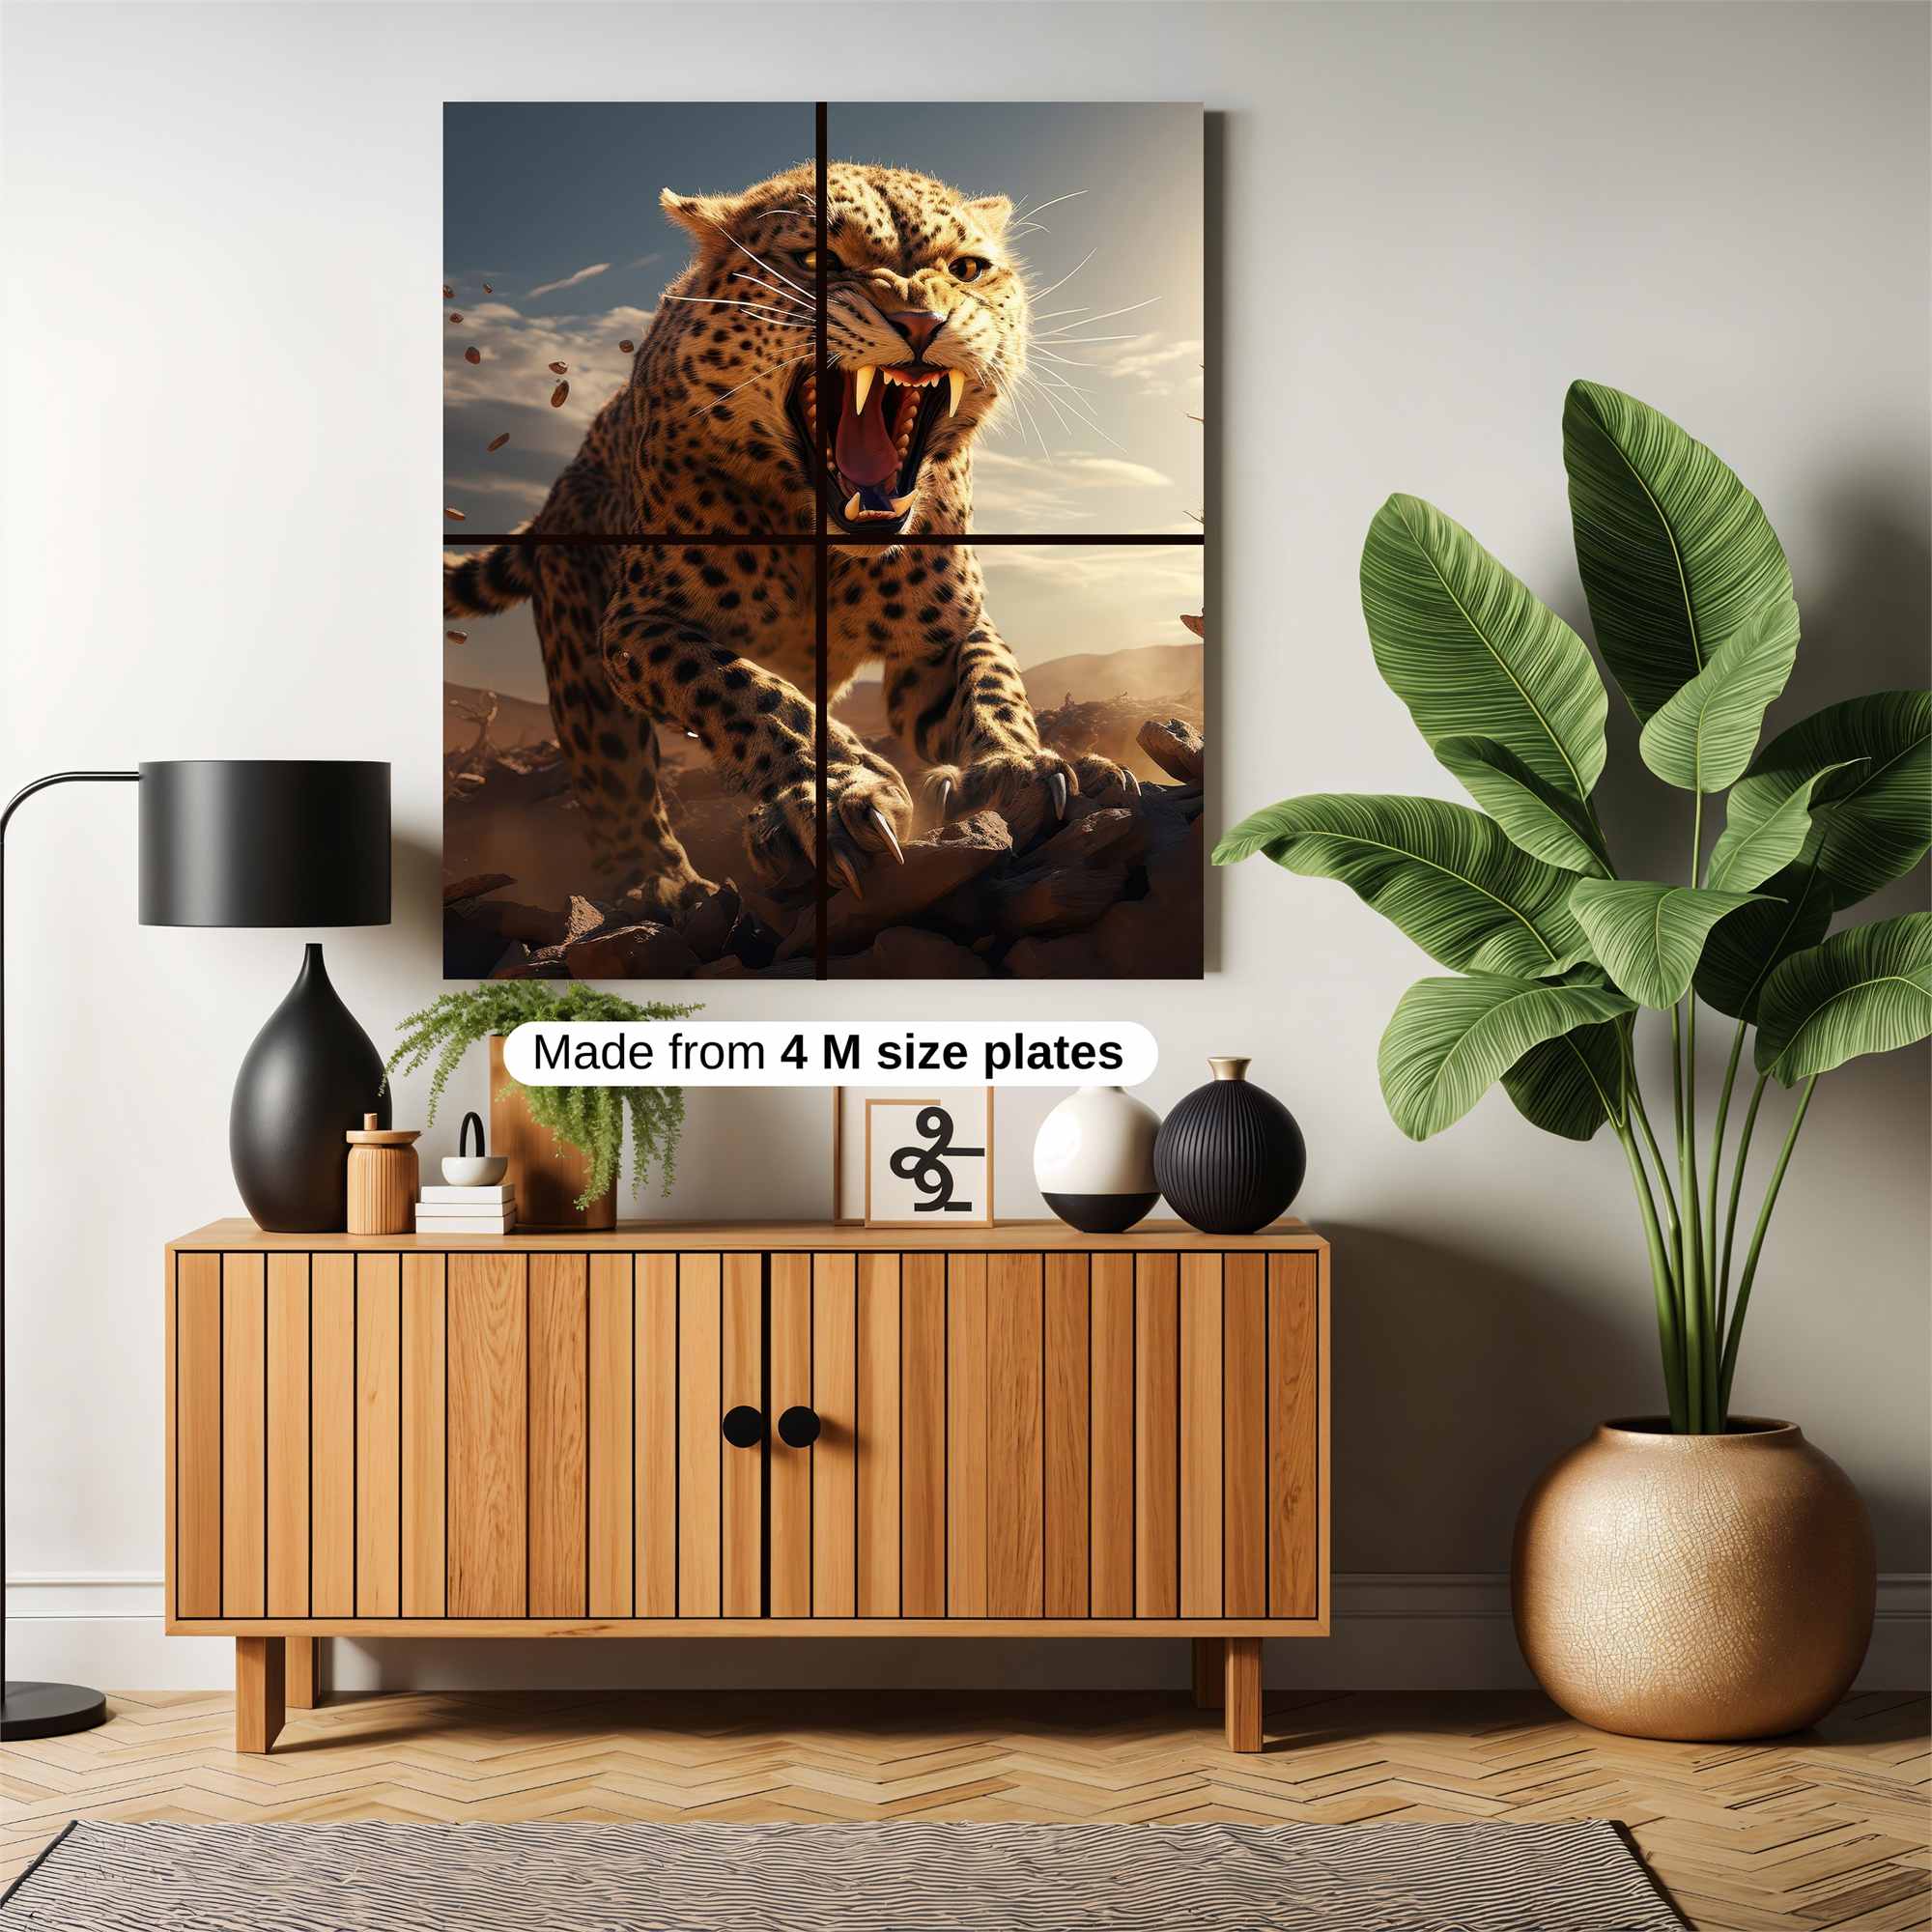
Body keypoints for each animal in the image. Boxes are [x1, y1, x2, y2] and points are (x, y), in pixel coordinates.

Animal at [443, 160, 1130, 919]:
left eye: (968, 269)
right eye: (818, 261)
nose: (922, 321)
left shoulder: (943, 634)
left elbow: (993, 685)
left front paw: (1014, 766)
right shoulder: (640, 624)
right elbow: (745, 690)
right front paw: (836, 797)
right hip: (581, 657)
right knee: (612, 775)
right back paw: (660, 883)